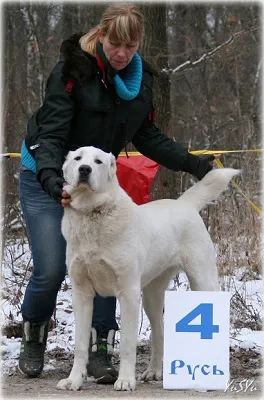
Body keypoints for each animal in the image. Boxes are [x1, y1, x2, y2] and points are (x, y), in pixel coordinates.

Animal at [56, 145, 238, 390]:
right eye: (77, 159)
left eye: (98, 162)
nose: (85, 169)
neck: (93, 213)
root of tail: (185, 204)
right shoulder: (82, 294)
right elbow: (81, 344)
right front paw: (74, 380)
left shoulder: (128, 294)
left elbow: (127, 344)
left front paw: (125, 380)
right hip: (152, 296)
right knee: (159, 334)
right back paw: (153, 372)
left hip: (203, 282)